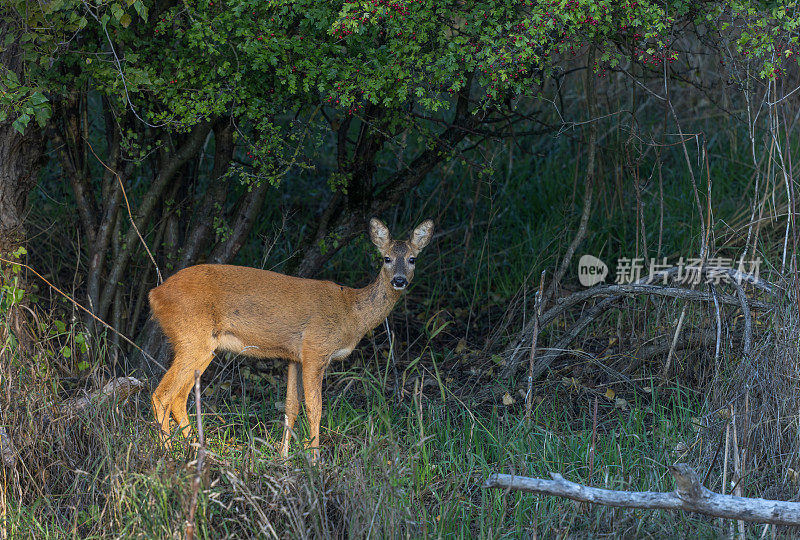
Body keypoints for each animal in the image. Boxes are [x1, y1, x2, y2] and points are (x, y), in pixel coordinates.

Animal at [150, 217, 438, 462]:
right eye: (386, 258)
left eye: (412, 259)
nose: (399, 280)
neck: (351, 312)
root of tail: (155, 294)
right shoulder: (316, 349)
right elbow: (315, 407)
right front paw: (315, 460)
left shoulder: (294, 357)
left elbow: (291, 406)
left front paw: (284, 457)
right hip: (192, 338)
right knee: (162, 395)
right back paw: (168, 452)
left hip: (203, 347)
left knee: (179, 398)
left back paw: (198, 450)